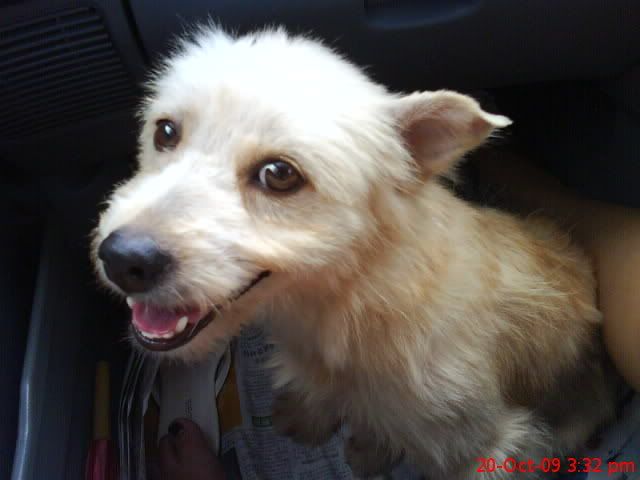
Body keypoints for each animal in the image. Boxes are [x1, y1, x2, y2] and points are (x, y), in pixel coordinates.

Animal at [92, 26, 619, 479]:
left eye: (279, 174)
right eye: (165, 131)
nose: (121, 259)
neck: (351, 298)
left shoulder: (488, 445)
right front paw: (315, 419)